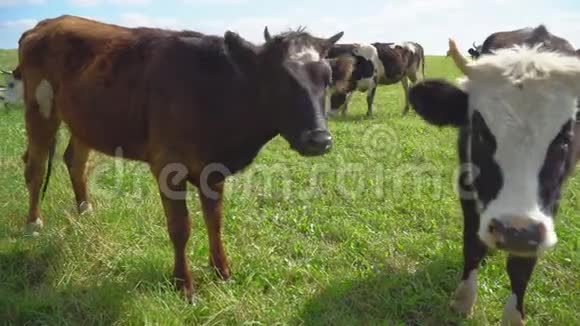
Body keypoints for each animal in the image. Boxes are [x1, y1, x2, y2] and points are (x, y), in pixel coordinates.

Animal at [18, 14, 344, 300]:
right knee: (35, 166)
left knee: (76, 161)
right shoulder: (168, 167)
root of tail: (47, 23)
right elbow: (180, 228)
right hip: (40, 109)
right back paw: (34, 222)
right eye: (279, 78)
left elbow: (215, 220)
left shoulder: (213, 169)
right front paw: (183, 283)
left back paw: (85, 209)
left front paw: (221, 269)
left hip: (84, 120)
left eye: (327, 79)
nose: (319, 140)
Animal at [410, 24, 580, 324]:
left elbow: (521, 265)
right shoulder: (466, 185)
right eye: (479, 131)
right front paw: (463, 300)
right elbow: (472, 244)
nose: (516, 232)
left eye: (565, 138)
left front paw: (513, 315)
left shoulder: (550, 204)